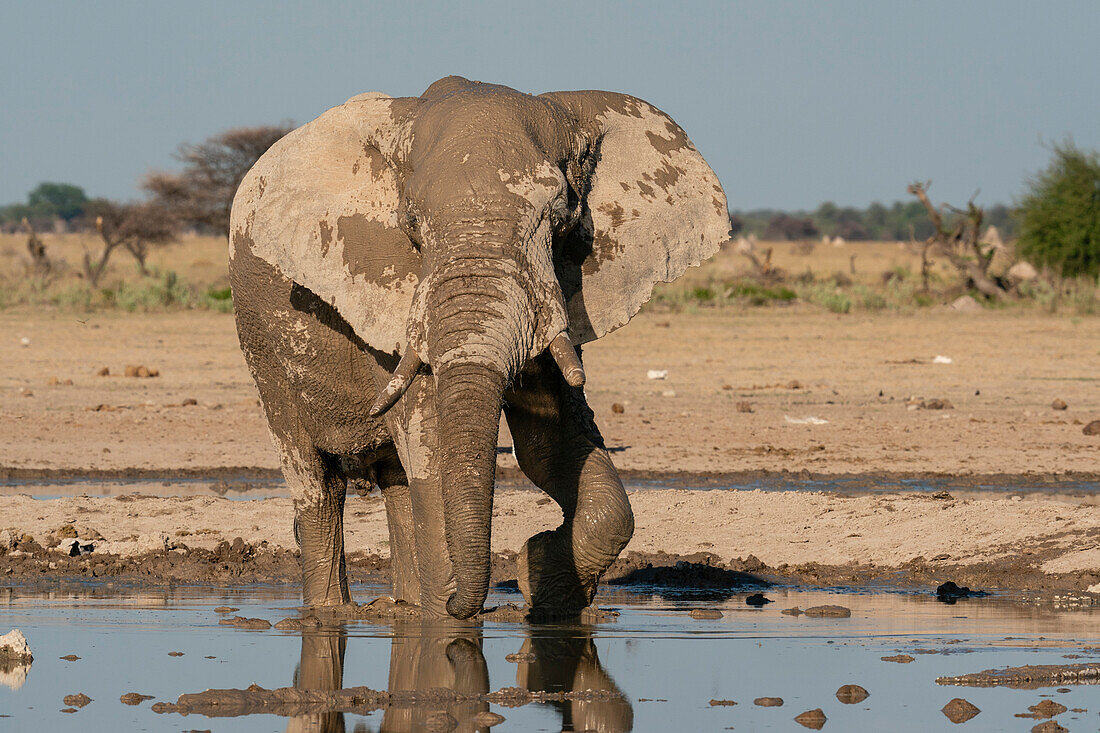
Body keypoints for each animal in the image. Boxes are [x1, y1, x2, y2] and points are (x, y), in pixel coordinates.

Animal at [231, 72, 730, 616]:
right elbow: (436, 459)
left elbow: (552, 449)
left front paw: (537, 577)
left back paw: (403, 607)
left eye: (560, 217)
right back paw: (331, 612)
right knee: (315, 483)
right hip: (262, 349)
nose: (470, 602)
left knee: (398, 482)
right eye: (410, 223)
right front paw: (451, 617)